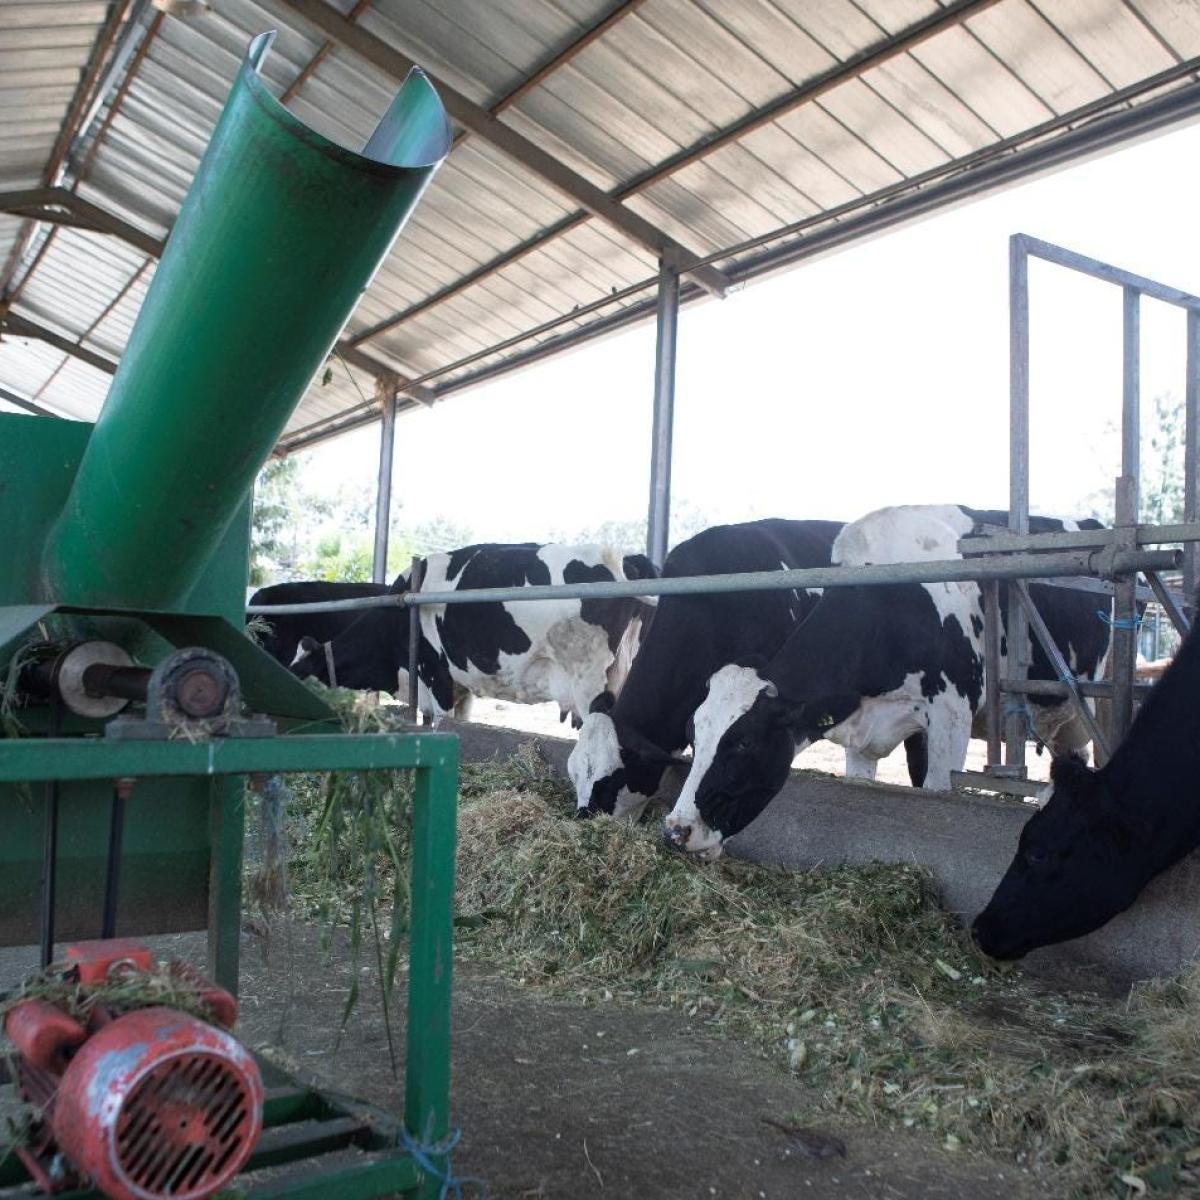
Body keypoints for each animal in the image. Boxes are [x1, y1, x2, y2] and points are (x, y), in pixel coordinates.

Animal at [662, 506, 1108, 864]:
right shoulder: (861, 731)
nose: (676, 830)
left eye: (743, 742)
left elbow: (935, 792)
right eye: (693, 736)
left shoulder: (951, 718)